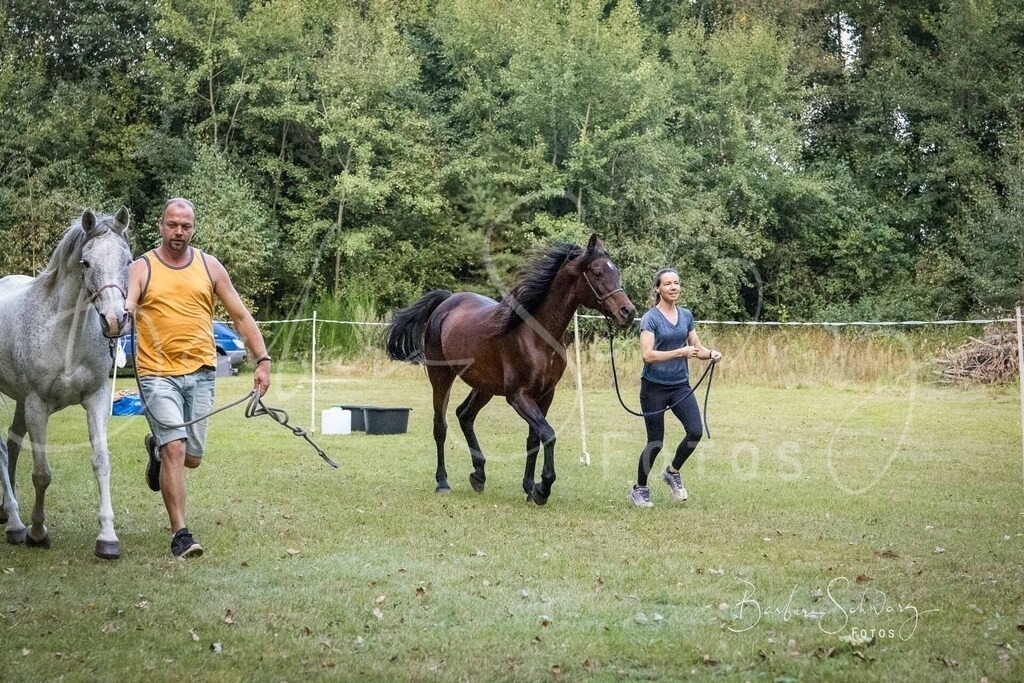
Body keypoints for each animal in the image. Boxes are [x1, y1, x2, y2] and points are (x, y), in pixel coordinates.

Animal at [0, 207, 131, 559]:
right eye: (86, 263)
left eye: (128, 260)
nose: (114, 321)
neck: (66, 334)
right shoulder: (36, 405)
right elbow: (42, 474)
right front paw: (37, 532)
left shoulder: (96, 399)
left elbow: (101, 462)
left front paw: (108, 537)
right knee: (2, 450)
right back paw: (16, 523)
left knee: (12, 444)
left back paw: (7, 515)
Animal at [385, 234, 636, 505]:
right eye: (597, 273)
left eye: (616, 272)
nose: (628, 312)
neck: (536, 336)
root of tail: (446, 302)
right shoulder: (518, 397)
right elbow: (548, 434)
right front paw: (543, 488)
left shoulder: (545, 395)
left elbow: (534, 438)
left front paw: (529, 487)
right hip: (441, 378)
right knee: (440, 427)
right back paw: (443, 482)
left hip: (483, 386)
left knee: (465, 415)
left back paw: (479, 474)